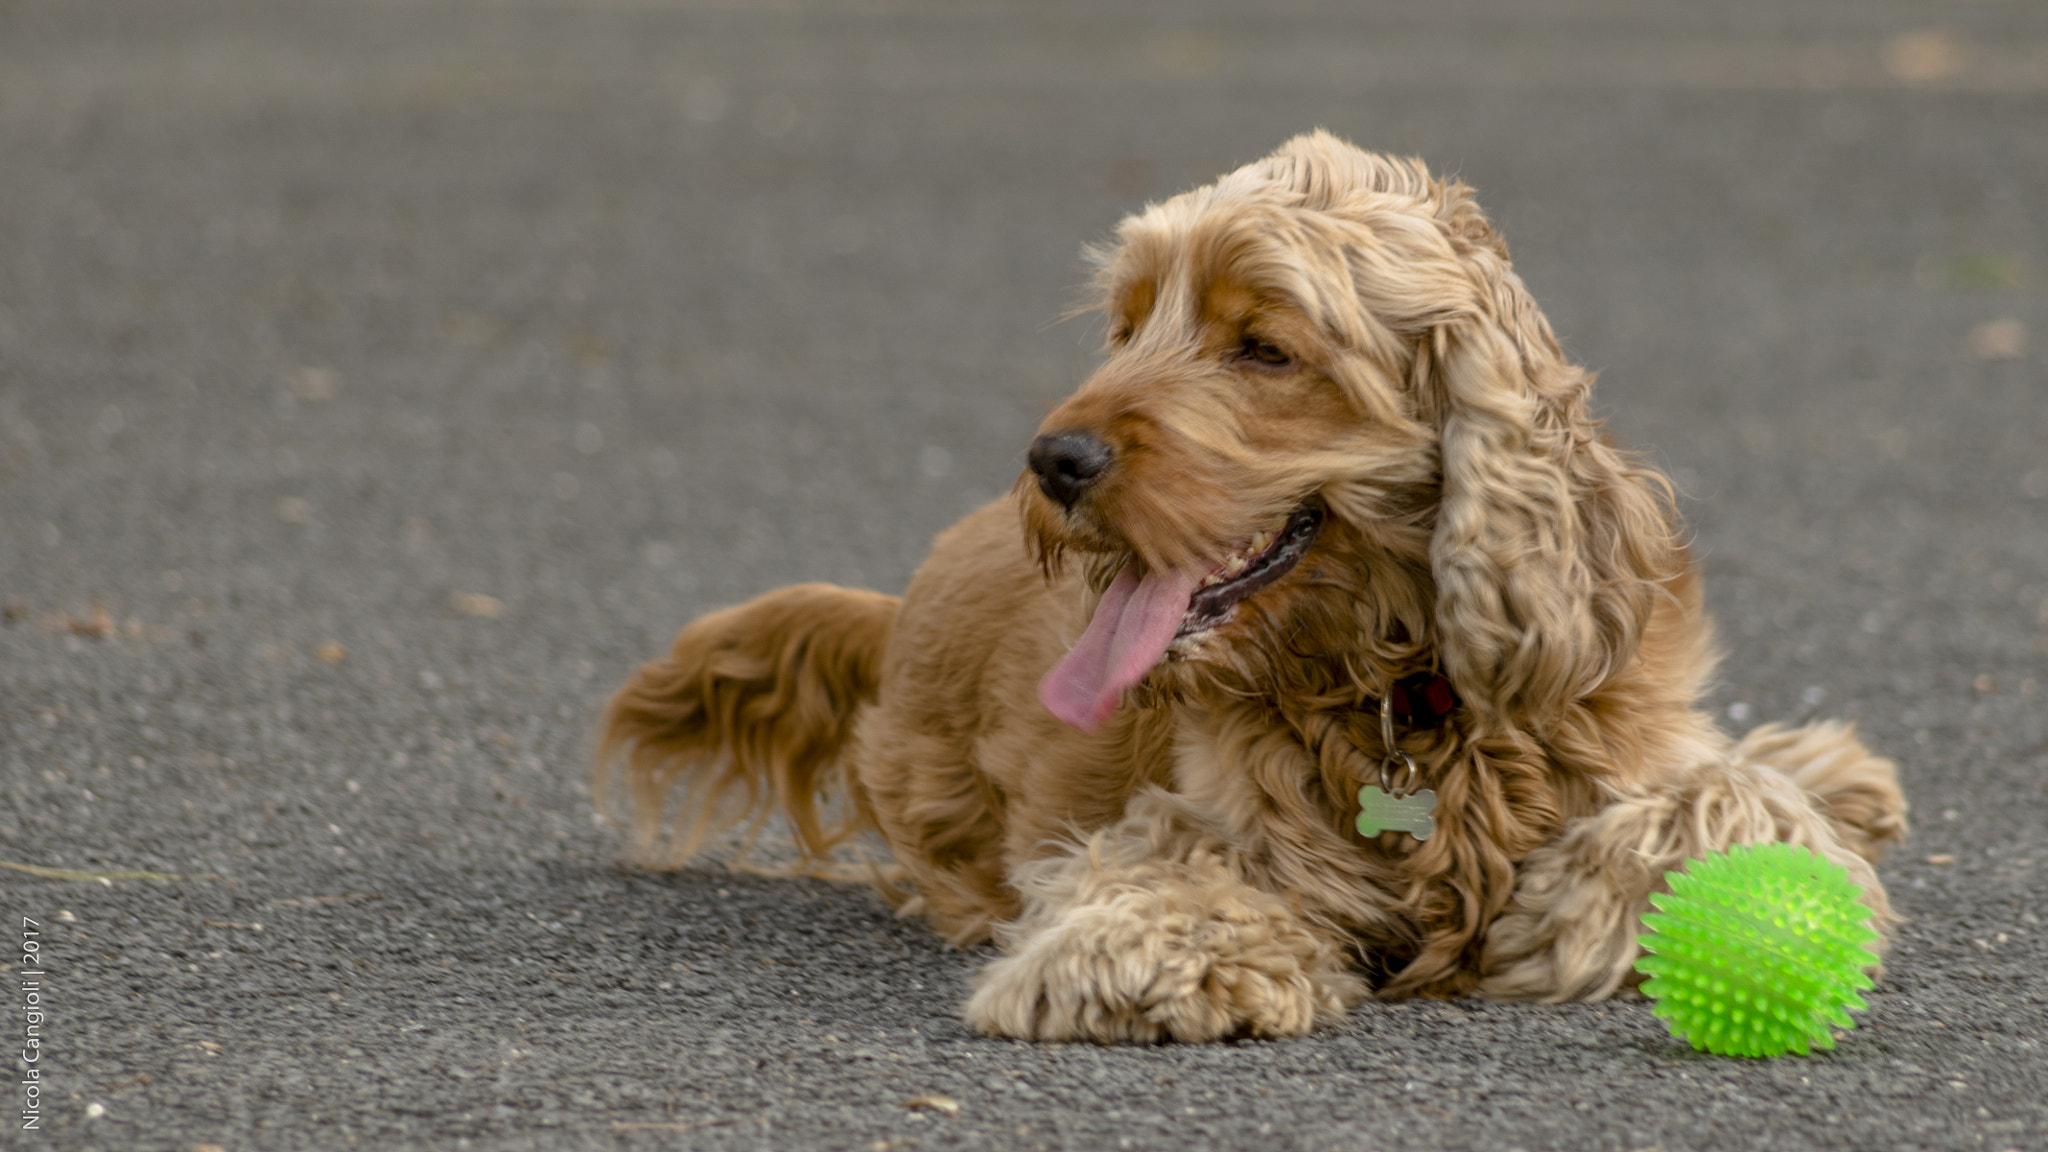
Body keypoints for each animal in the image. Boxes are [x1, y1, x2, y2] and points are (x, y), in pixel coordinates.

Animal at [593, 134, 1900, 1041]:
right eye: (1124, 327)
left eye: (1263, 347)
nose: (1052, 462)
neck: (1396, 690)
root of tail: (894, 611)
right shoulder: (1189, 821)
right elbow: (1167, 875)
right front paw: (1157, 959)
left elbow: (1723, 799)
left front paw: (1568, 908)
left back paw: (1836, 771)